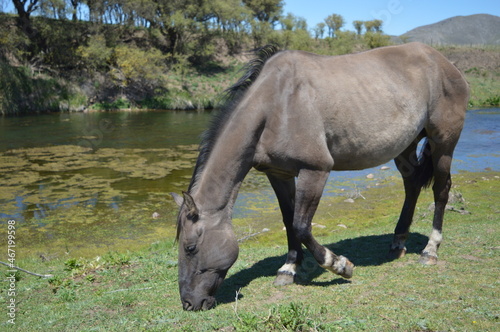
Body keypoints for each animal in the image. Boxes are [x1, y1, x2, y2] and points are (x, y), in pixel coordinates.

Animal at [172, 42, 468, 312]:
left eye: (190, 247)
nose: (189, 303)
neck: (275, 105)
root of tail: (446, 63)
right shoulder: (278, 174)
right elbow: (289, 221)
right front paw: (289, 268)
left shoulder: (315, 171)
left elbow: (302, 225)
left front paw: (340, 265)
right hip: (405, 147)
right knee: (412, 184)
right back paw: (398, 243)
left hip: (443, 144)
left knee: (441, 190)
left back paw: (430, 250)